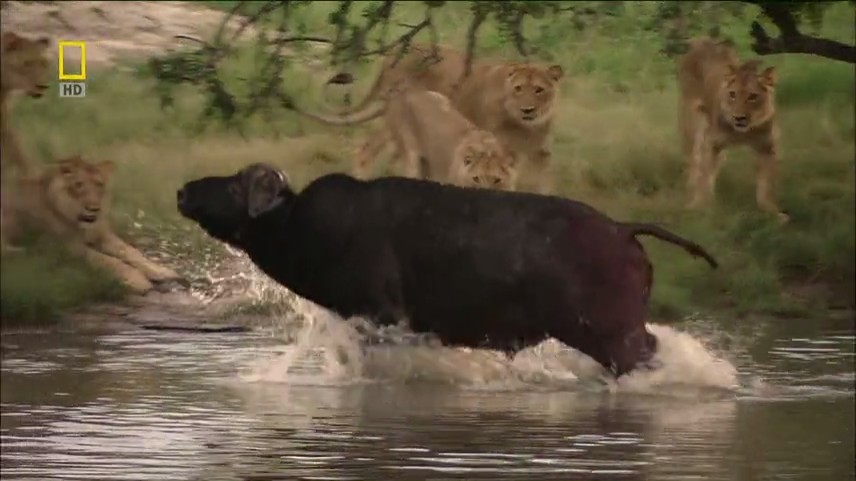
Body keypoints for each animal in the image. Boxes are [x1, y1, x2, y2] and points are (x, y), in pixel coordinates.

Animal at [0, 155, 185, 294]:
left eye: (99, 184)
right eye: (79, 185)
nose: (94, 209)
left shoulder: (103, 235)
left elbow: (131, 252)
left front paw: (161, 271)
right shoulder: (69, 246)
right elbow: (108, 260)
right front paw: (137, 280)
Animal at [313, 43, 563, 193]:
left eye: (539, 90)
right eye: (518, 88)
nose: (528, 110)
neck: (525, 127)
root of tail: (393, 54)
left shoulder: (542, 154)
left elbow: (546, 185)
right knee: (367, 150)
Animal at [678, 37, 787, 224]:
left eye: (753, 96)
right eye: (732, 94)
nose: (739, 118)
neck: (743, 132)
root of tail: (704, 40)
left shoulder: (767, 147)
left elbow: (766, 186)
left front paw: (773, 214)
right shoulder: (712, 143)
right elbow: (704, 177)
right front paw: (697, 207)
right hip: (693, 120)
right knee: (694, 157)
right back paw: (692, 183)